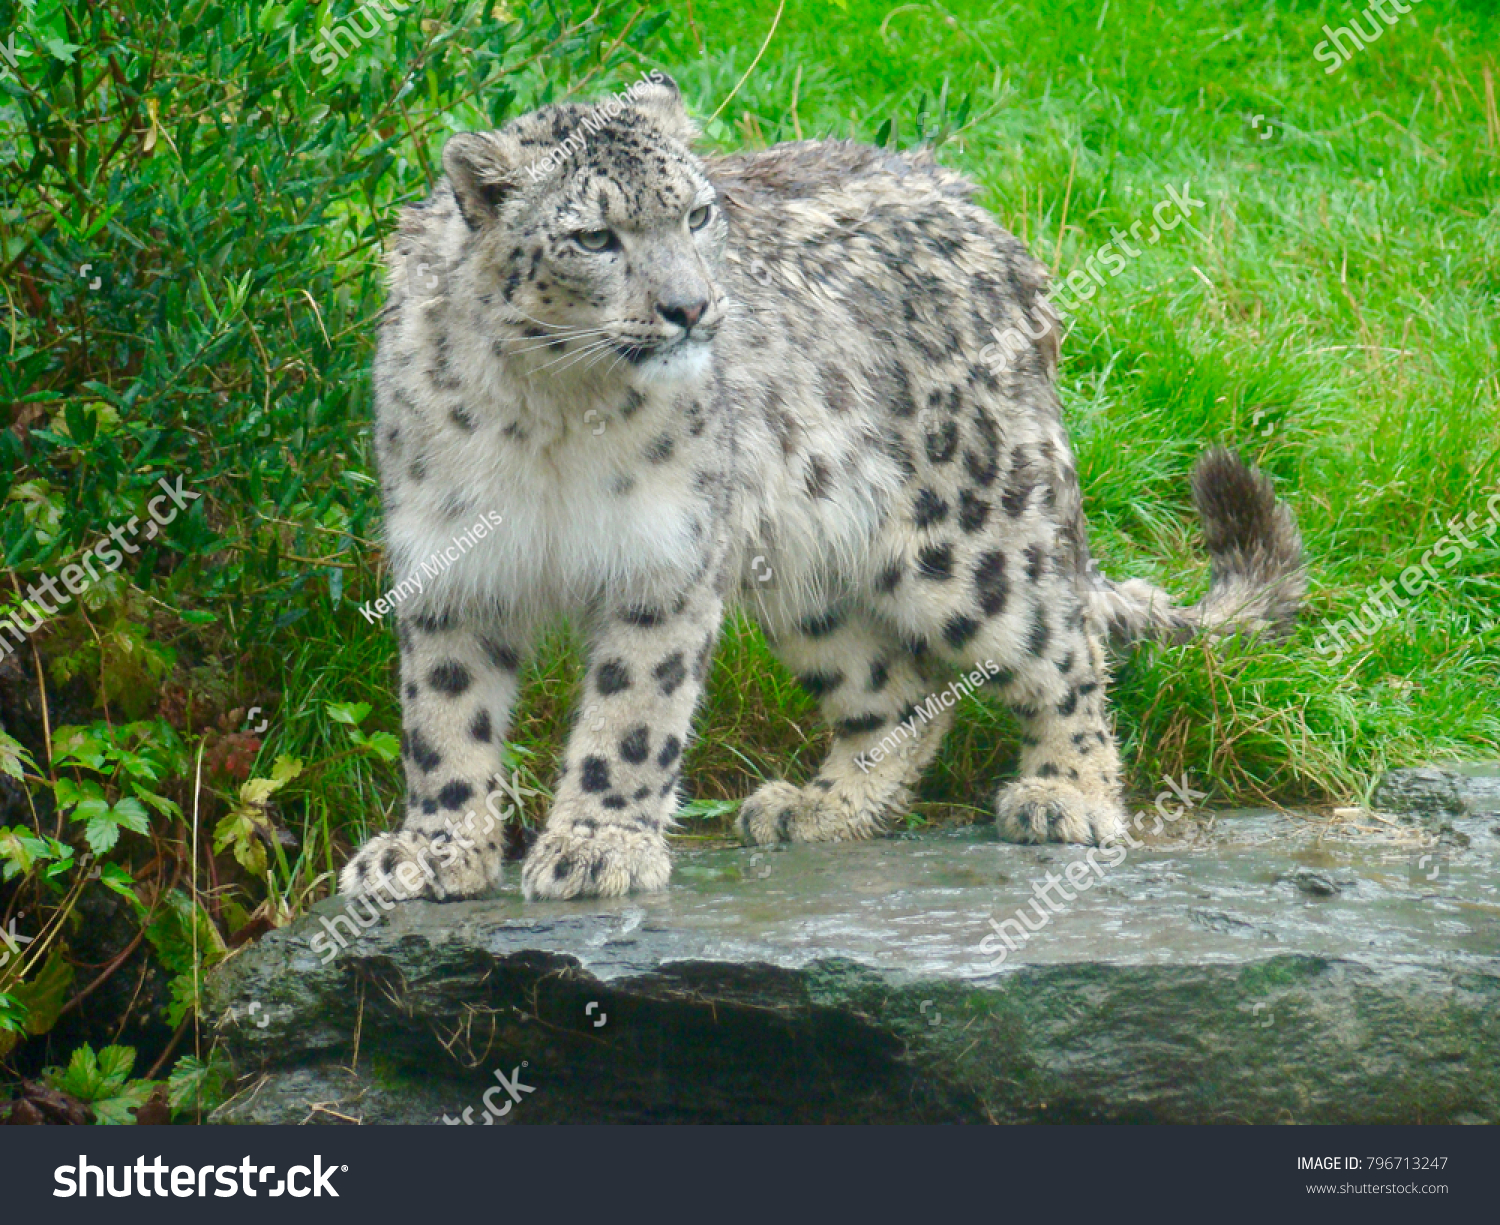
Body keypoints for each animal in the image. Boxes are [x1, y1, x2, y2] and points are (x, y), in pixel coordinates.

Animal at [337, 76, 1302, 899]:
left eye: (698, 213)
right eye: (594, 237)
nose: (692, 307)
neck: (555, 412)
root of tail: (990, 222)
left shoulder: (664, 556)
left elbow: (634, 712)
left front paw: (598, 844)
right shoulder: (453, 561)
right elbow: (446, 715)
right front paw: (430, 851)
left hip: (972, 536)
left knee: (1064, 647)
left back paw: (1069, 794)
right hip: (804, 579)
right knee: (896, 693)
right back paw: (820, 807)